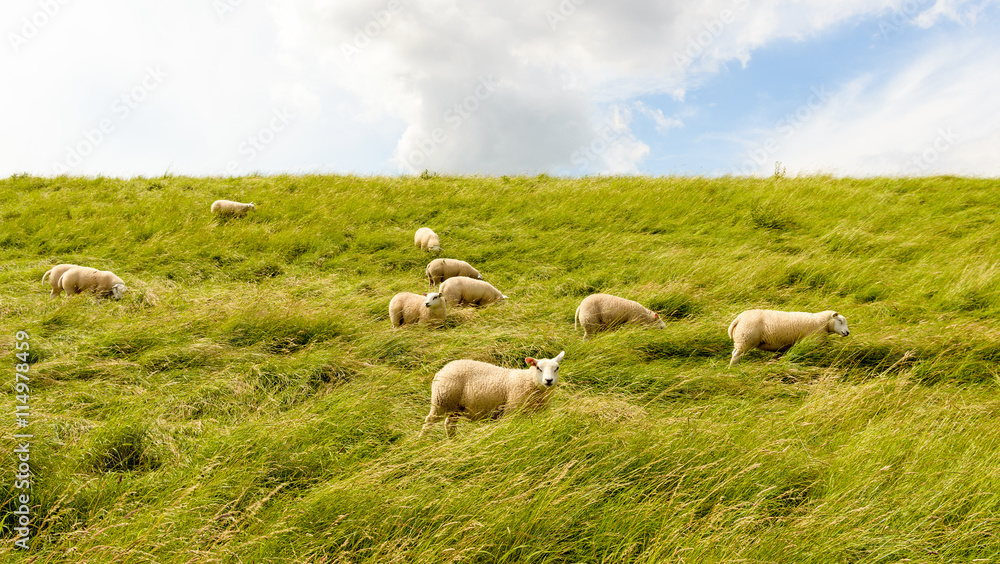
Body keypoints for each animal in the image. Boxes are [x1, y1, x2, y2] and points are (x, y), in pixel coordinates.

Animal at [421, 351, 566, 437]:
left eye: (557, 368)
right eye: (538, 368)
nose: (548, 380)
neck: (529, 380)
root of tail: (441, 370)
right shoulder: (511, 411)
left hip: (455, 407)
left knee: (449, 425)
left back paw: (453, 441)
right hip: (441, 401)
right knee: (429, 421)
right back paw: (422, 440)